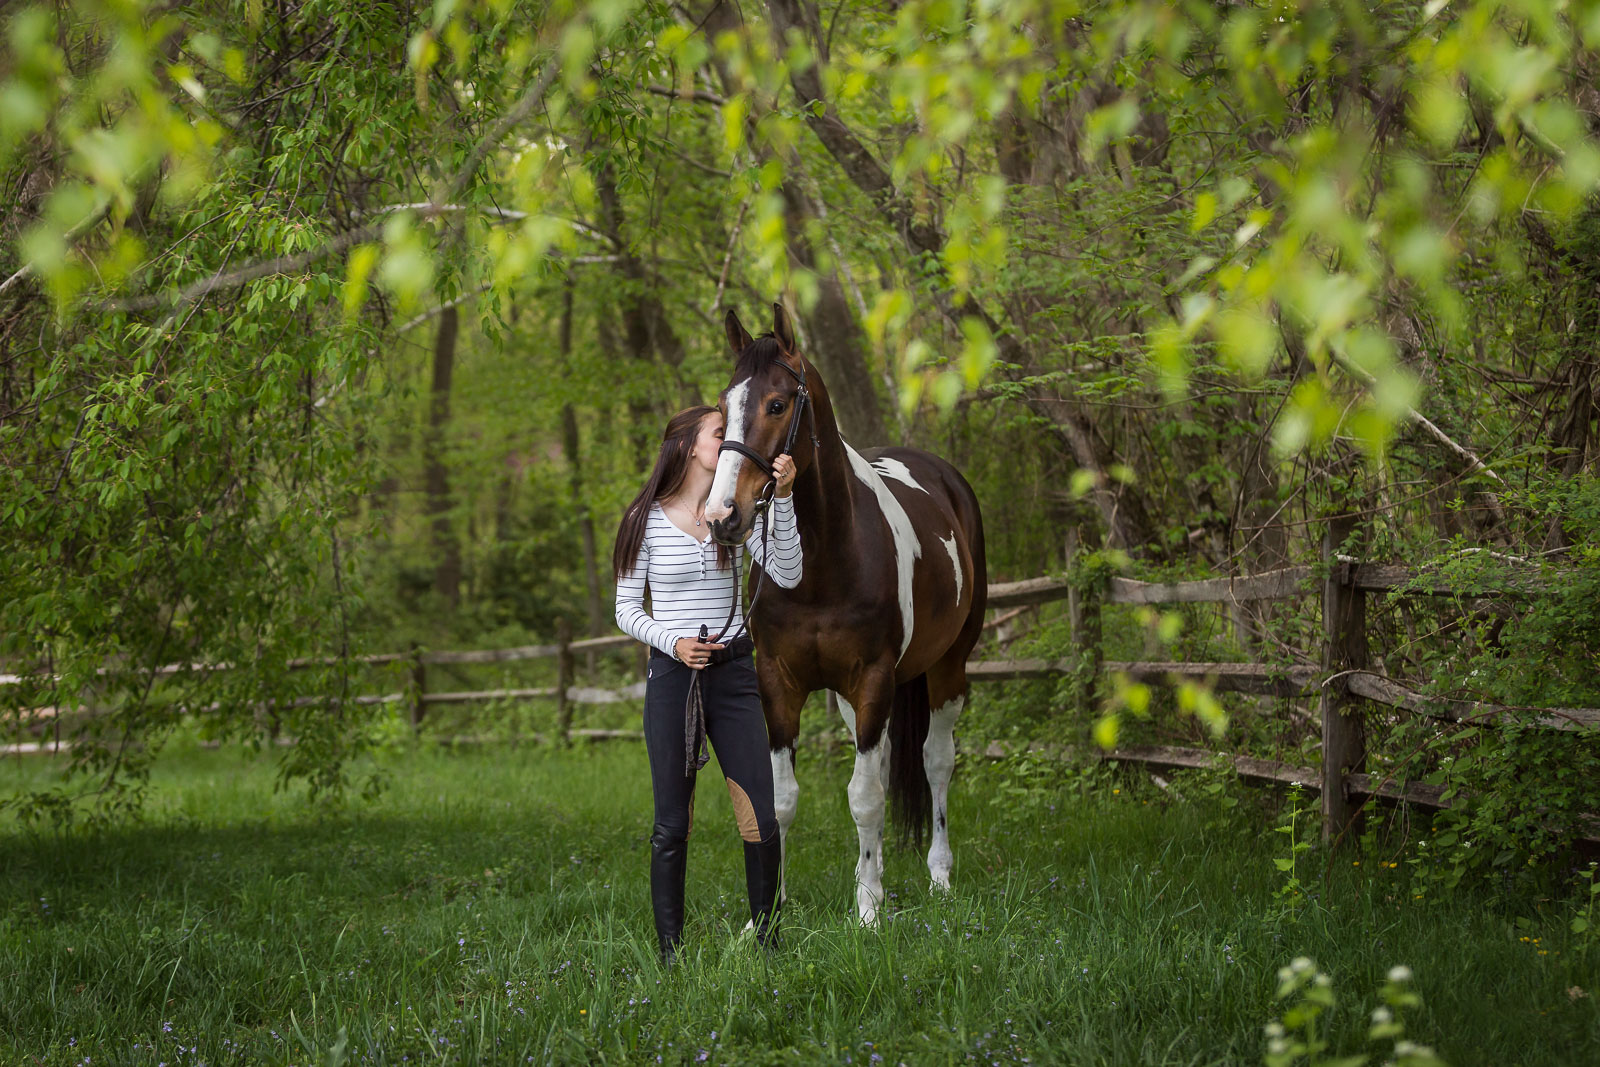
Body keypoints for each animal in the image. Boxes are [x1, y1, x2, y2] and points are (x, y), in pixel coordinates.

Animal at [704, 302, 987, 925]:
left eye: (777, 404)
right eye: (723, 407)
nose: (722, 516)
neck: (822, 563)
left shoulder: (874, 678)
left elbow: (864, 798)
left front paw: (868, 910)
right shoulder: (780, 682)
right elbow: (781, 799)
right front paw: (770, 907)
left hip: (947, 668)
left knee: (935, 762)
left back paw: (938, 875)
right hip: (850, 699)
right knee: (883, 766)